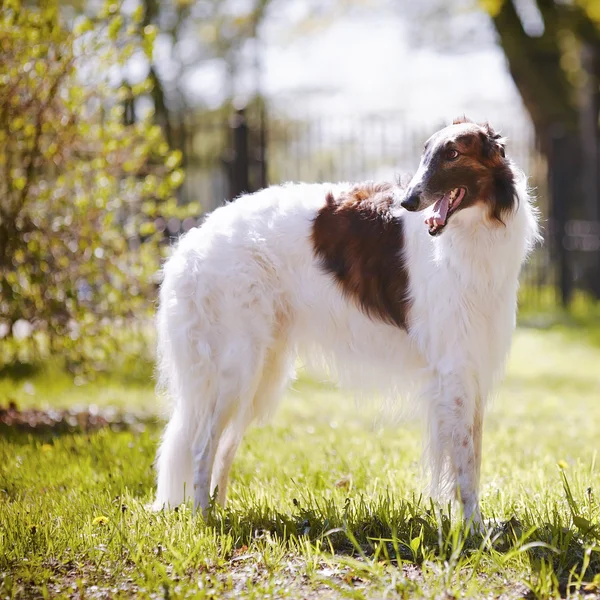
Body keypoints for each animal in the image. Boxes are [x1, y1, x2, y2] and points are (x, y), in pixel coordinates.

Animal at [154, 116, 540, 524]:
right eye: (426, 152)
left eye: (452, 153)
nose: (409, 201)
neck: (473, 232)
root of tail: (191, 243)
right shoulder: (454, 367)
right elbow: (464, 463)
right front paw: (473, 528)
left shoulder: (472, 367)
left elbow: (474, 458)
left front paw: (476, 524)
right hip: (237, 367)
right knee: (201, 445)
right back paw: (203, 518)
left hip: (262, 372)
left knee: (224, 447)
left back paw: (220, 510)